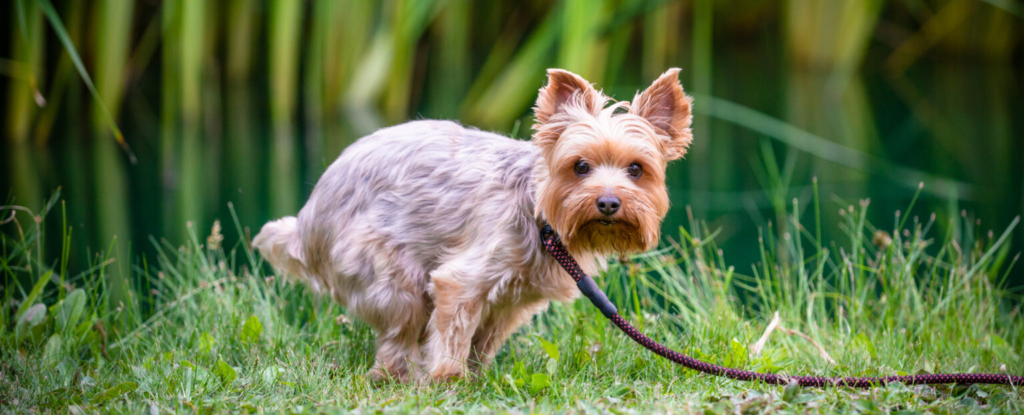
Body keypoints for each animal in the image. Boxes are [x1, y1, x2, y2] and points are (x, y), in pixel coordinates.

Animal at [251, 68, 692, 381]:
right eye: (580, 166)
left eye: (636, 170)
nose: (608, 202)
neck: (540, 214)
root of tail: (308, 221)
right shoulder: (462, 281)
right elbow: (453, 333)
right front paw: (448, 378)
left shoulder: (510, 303)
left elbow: (484, 340)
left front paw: (477, 377)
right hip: (387, 270)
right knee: (398, 334)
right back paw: (398, 376)